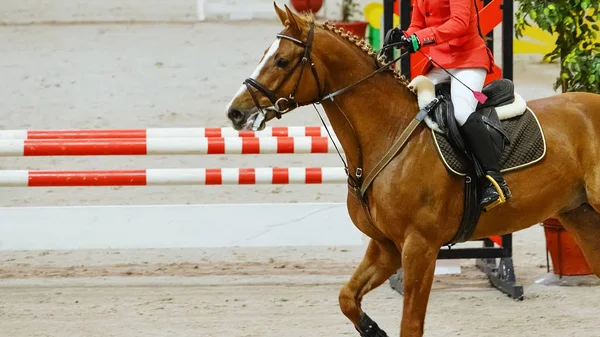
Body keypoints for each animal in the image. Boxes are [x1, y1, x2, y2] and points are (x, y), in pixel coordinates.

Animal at [225, 3, 600, 334]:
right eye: (265, 54)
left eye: (282, 60)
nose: (236, 113)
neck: (387, 132)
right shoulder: (386, 246)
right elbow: (347, 298)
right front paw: (372, 329)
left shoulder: (420, 247)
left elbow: (411, 325)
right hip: (579, 215)